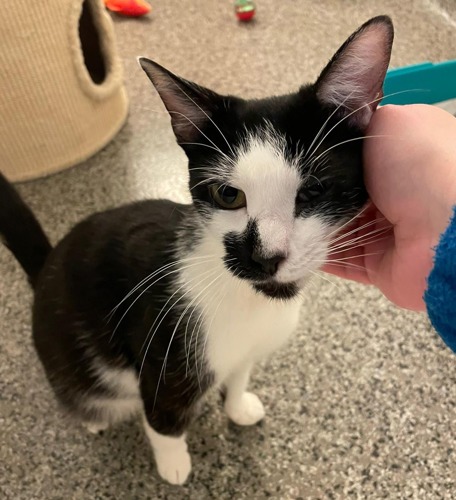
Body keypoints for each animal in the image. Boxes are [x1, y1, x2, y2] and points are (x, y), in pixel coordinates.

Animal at [0, 16, 392, 484]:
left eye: (313, 190)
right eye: (228, 195)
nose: (263, 257)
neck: (252, 300)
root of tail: (46, 268)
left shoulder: (245, 348)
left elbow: (239, 374)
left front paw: (238, 406)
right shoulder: (165, 347)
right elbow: (162, 417)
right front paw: (174, 465)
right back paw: (93, 417)